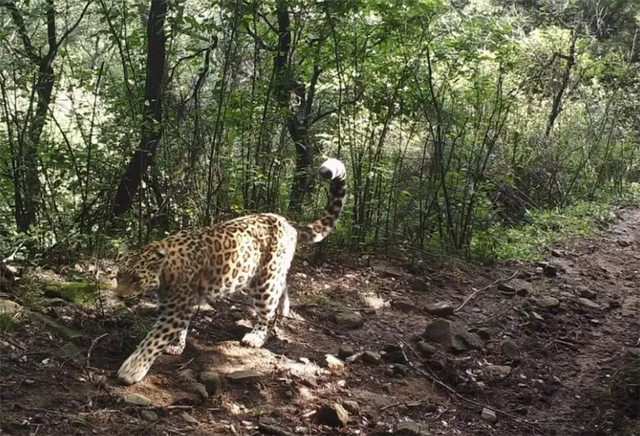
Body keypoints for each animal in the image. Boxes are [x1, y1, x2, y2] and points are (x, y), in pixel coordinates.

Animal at [112, 158, 348, 384]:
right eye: (119, 276)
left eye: (136, 278)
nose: (120, 296)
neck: (165, 274)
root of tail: (285, 221)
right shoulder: (178, 305)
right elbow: (178, 329)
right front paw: (177, 345)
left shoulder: (176, 308)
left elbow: (154, 339)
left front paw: (132, 370)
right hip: (273, 272)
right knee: (282, 285)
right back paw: (284, 307)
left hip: (263, 281)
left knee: (268, 311)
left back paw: (257, 336)